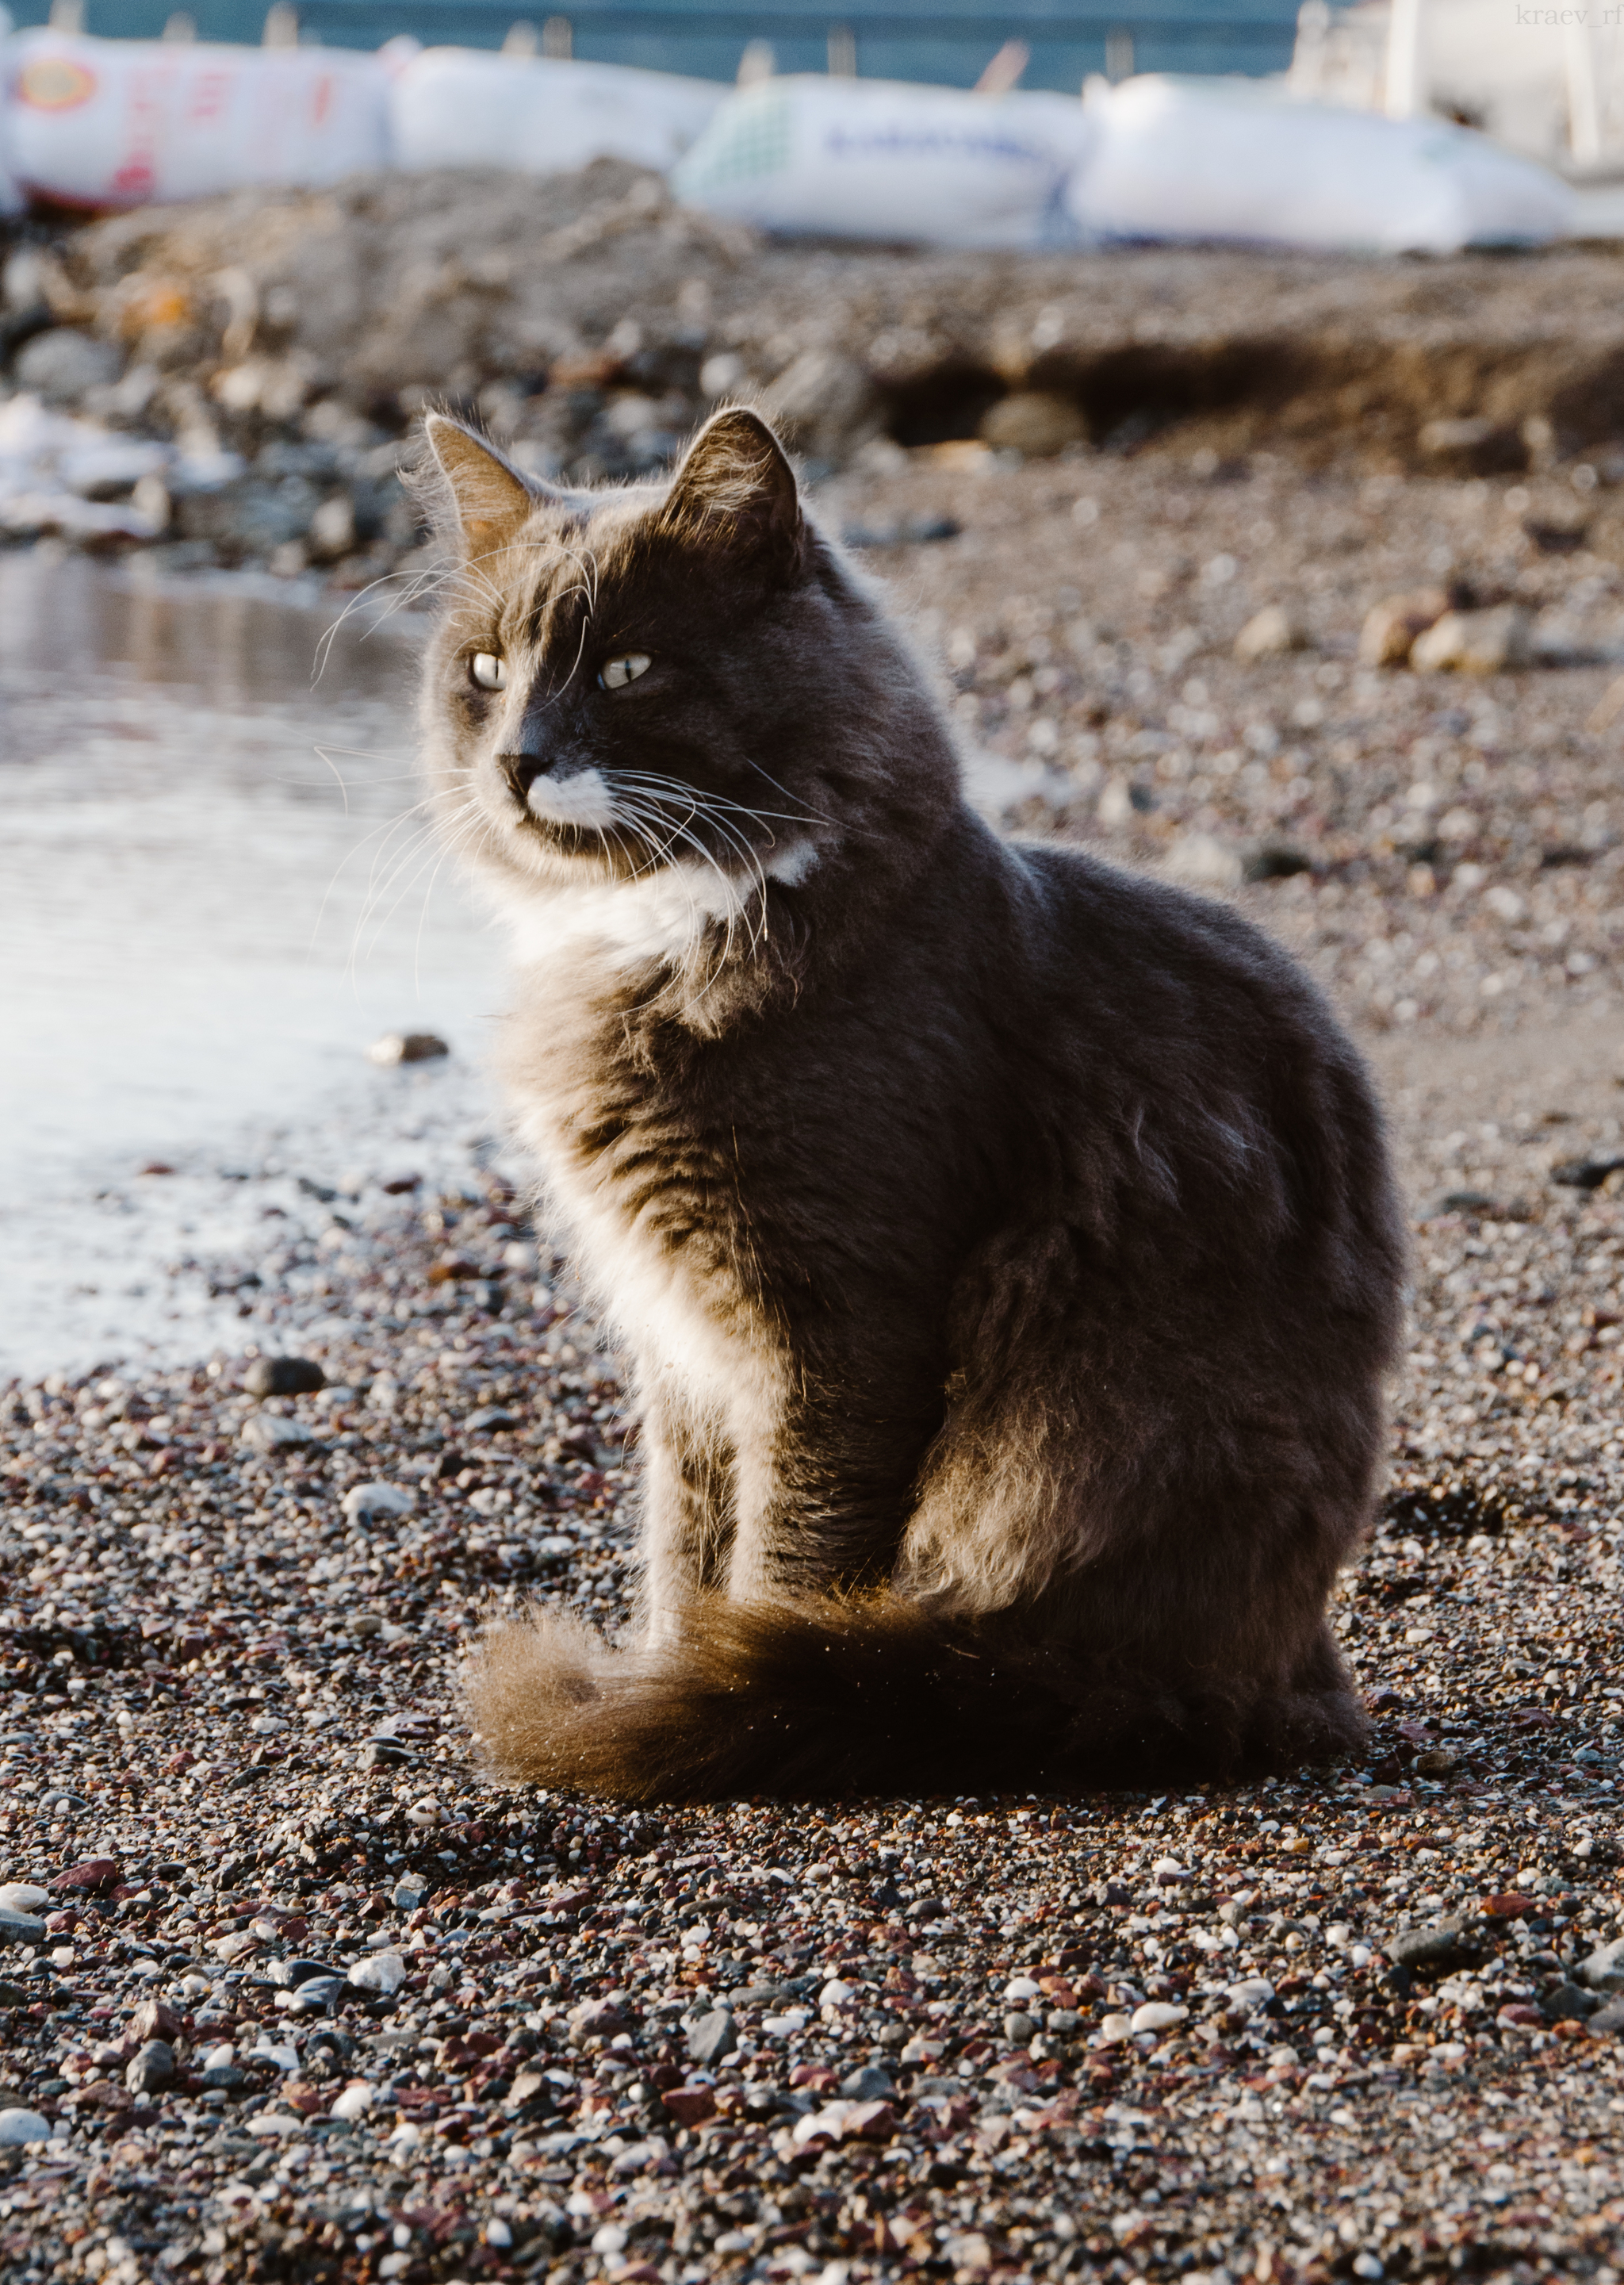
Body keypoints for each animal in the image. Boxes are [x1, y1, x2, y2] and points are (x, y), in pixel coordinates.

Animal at [413, 406, 1407, 1800]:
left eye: (627, 668)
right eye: (488, 670)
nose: (518, 760)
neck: (654, 937)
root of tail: (1287, 1678)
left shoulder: (842, 1329)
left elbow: (784, 1564)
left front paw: (702, 1705)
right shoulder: (685, 1352)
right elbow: (684, 1549)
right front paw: (672, 1677)